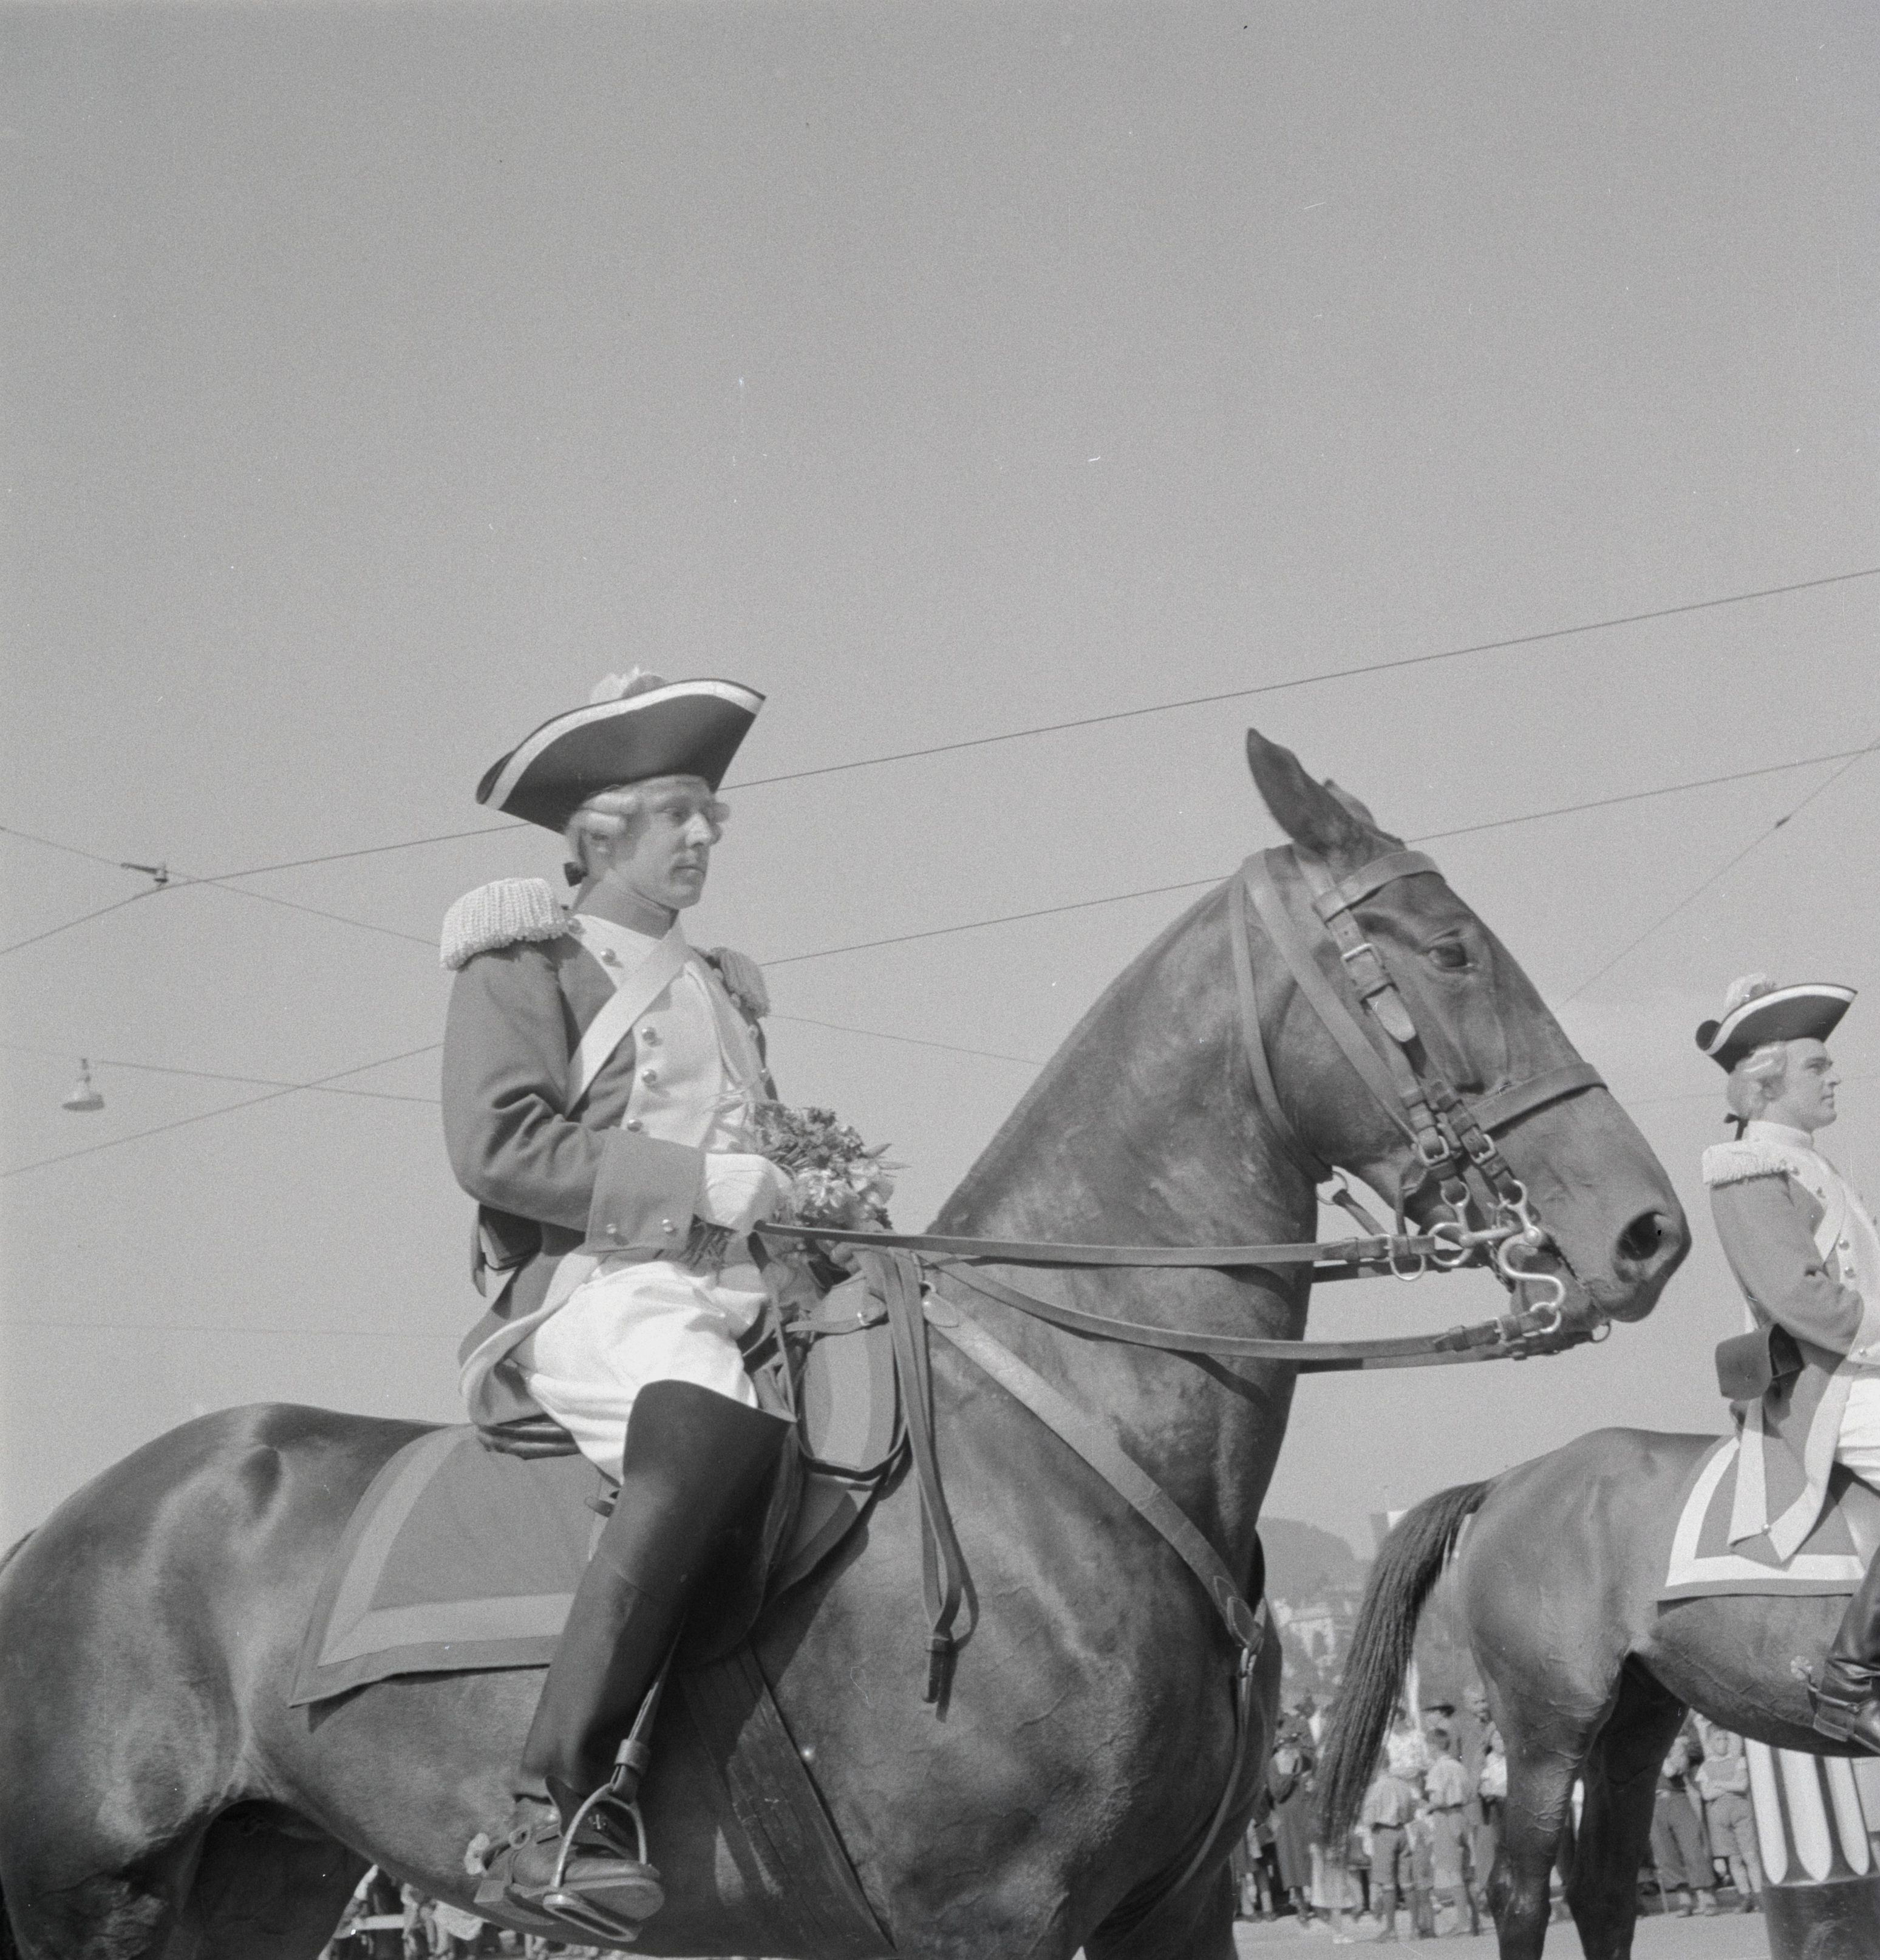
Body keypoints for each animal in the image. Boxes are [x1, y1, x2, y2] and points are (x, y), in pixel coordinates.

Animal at [0, 730, 1689, 1960]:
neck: (1077, 1432)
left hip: (259, 1887)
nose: (1645, 1233)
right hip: (91, 1901)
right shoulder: (988, 1923)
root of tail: (67, 1524)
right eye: (1447, 948)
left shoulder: (1177, 1910)